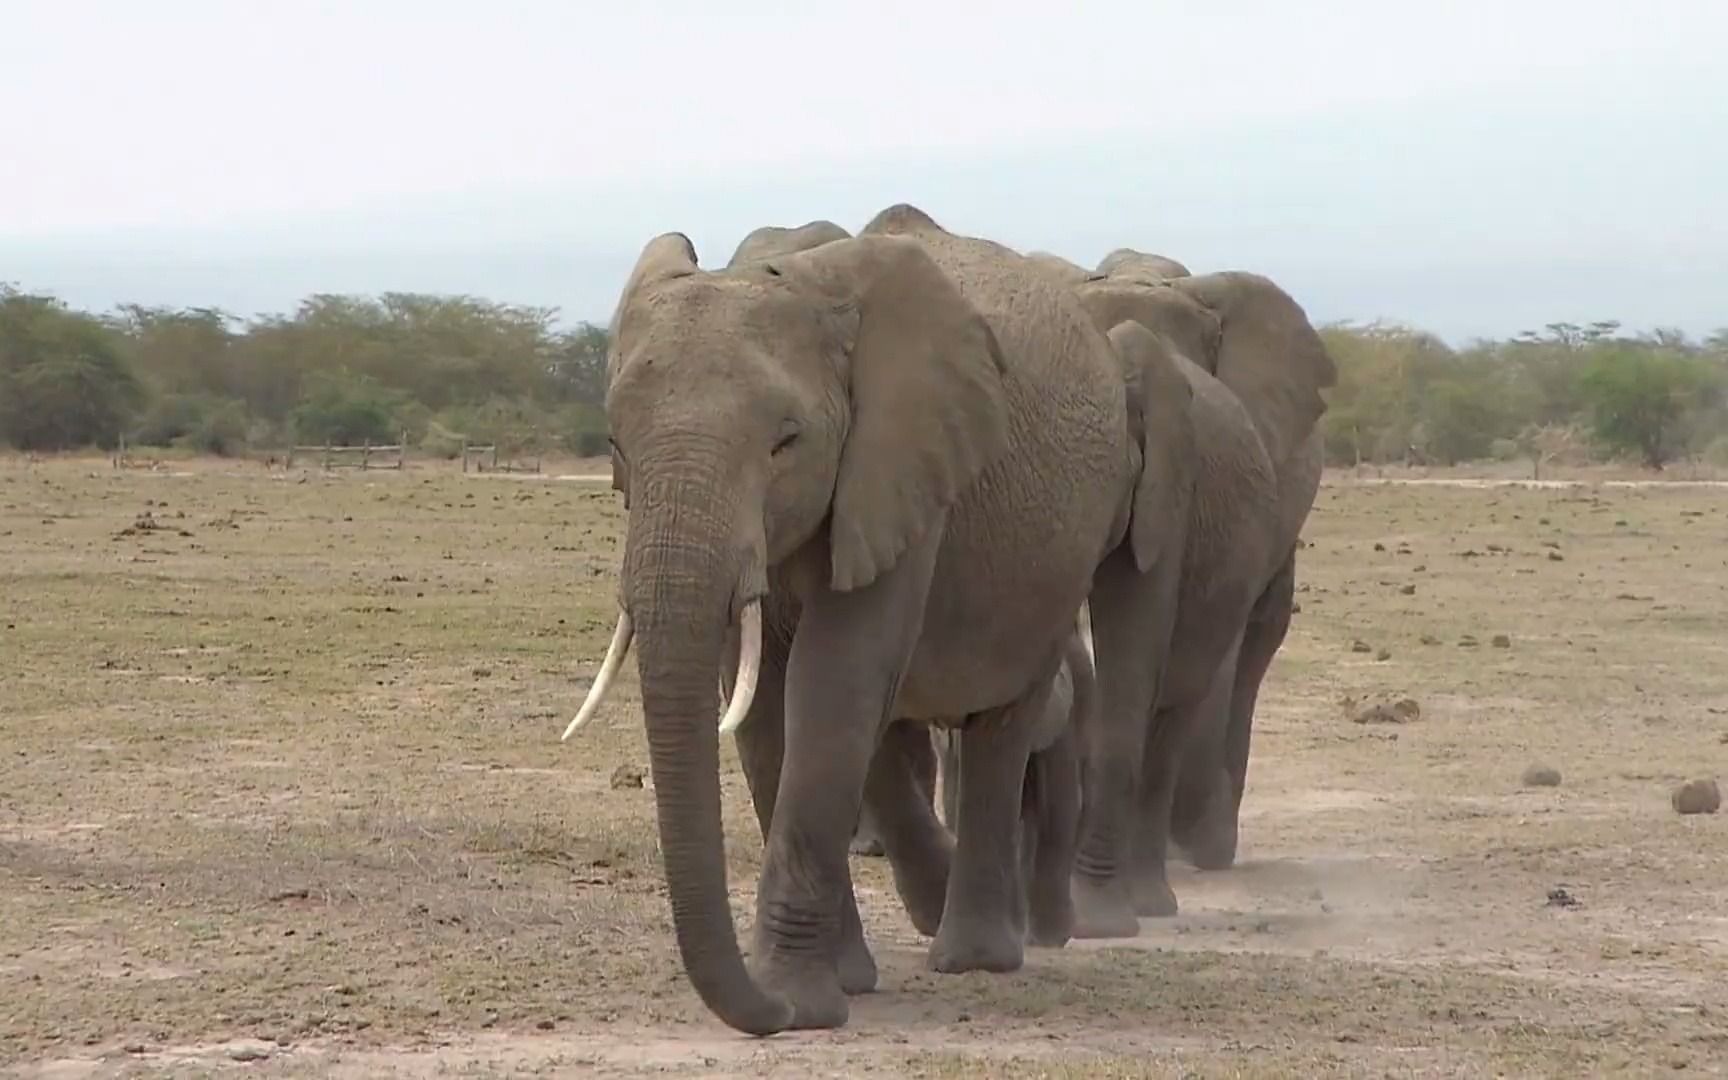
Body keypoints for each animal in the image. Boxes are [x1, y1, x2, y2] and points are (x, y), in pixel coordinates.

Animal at [559, 203, 1140, 1036]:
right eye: (615, 444)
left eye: (786, 441)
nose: (765, 1013)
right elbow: (765, 705)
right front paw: (828, 989)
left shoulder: (901, 467)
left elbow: (832, 683)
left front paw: (798, 1002)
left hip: (1070, 549)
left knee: (1001, 726)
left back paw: (977, 955)